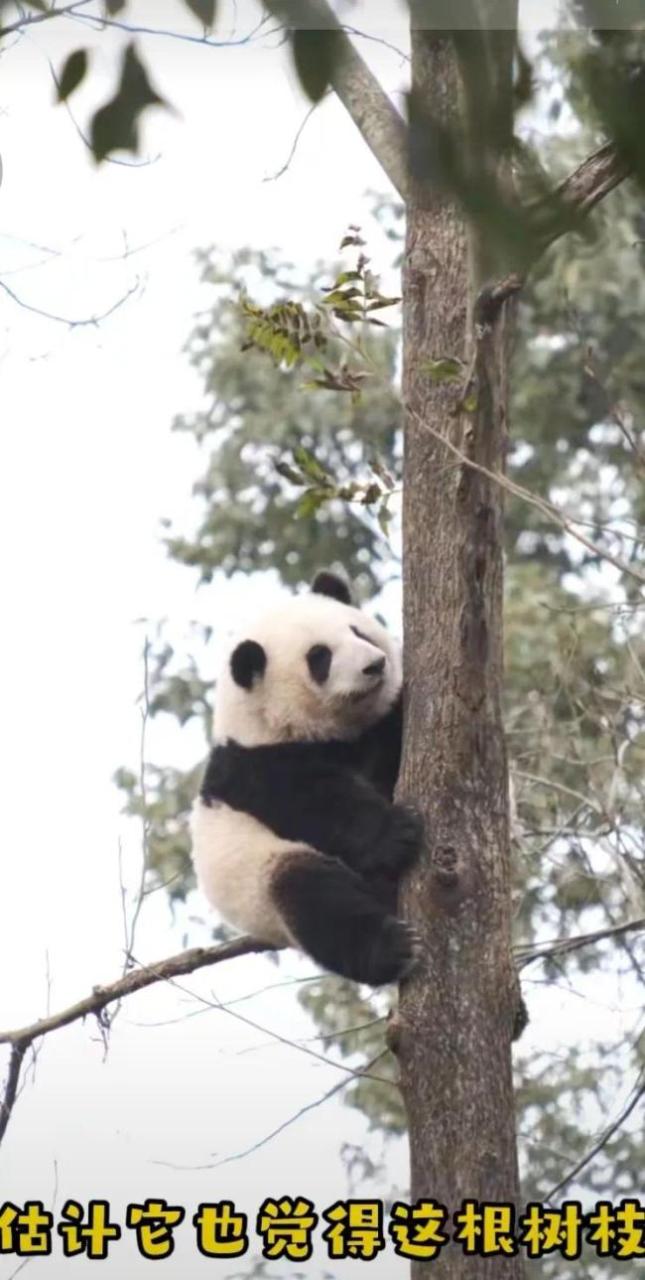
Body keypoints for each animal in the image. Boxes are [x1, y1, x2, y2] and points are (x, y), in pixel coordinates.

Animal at [191, 573, 422, 988]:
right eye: (320, 657)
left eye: (357, 631)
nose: (374, 664)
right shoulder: (256, 766)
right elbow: (318, 801)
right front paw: (396, 833)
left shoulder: (383, 724)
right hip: (264, 879)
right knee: (315, 898)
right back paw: (391, 949)